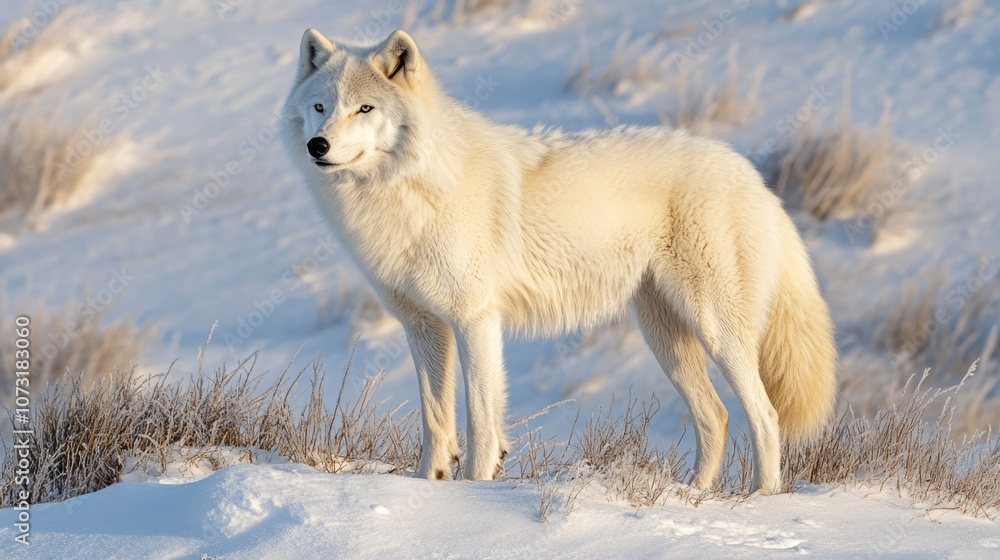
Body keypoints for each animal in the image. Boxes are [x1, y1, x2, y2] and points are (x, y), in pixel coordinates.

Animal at [280, 28, 836, 493]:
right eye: (320, 106)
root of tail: (752, 175)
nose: (317, 145)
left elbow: (480, 420)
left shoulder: (475, 320)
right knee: (716, 417)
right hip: (665, 337)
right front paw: (427, 486)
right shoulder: (424, 327)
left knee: (764, 416)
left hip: (717, 330)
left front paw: (474, 491)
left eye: (365, 109)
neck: (406, 190)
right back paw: (693, 497)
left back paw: (760, 498)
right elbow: (436, 421)